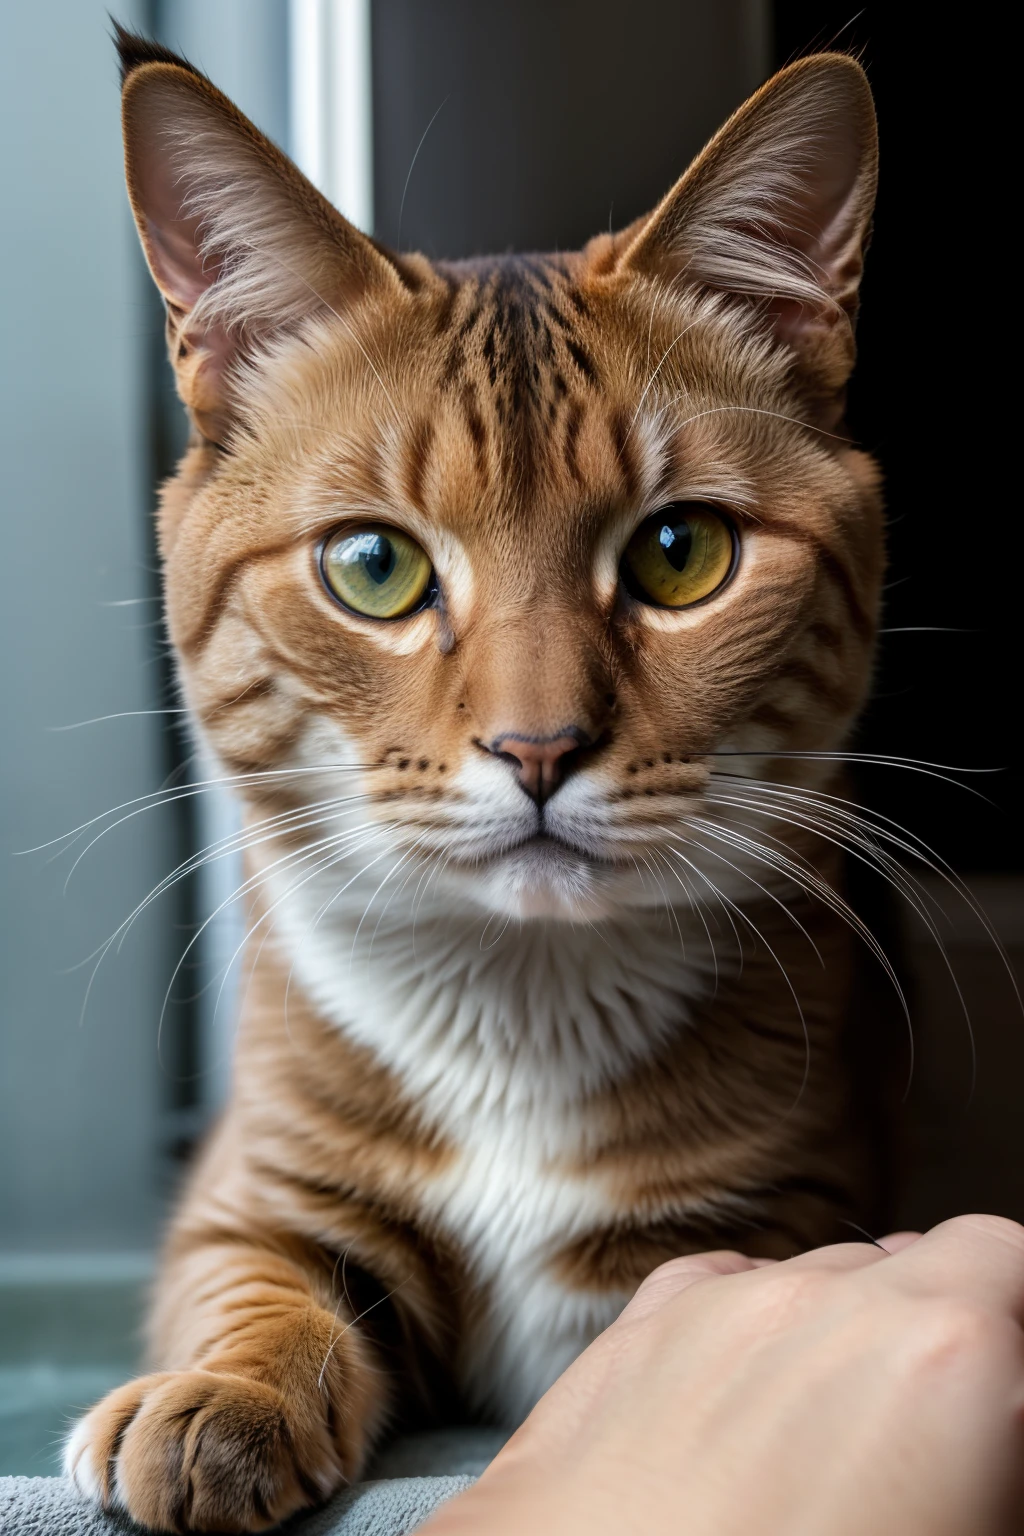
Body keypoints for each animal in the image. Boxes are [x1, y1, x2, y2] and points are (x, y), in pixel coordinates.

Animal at [67, 27, 890, 1536]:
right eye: (373, 566)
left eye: (681, 551)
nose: (538, 748)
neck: (519, 1009)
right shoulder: (249, 1186)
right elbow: (251, 1276)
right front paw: (216, 1396)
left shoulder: (794, 1199)